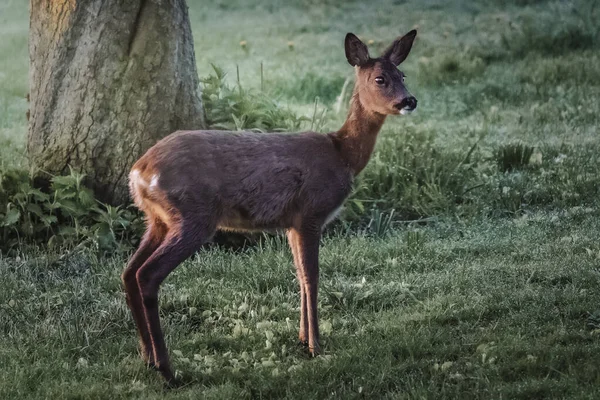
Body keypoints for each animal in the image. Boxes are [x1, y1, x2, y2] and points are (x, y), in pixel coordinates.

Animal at [123, 29, 418, 382]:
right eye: (380, 79)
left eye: (403, 75)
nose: (409, 101)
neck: (342, 155)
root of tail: (139, 172)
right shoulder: (311, 212)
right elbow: (312, 276)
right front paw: (316, 346)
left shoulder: (291, 222)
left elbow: (299, 275)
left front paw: (302, 338)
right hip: (193, 215)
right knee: (147, 274)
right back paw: (167, 370)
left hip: (158, 219)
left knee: (129, 271)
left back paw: (146, 357)